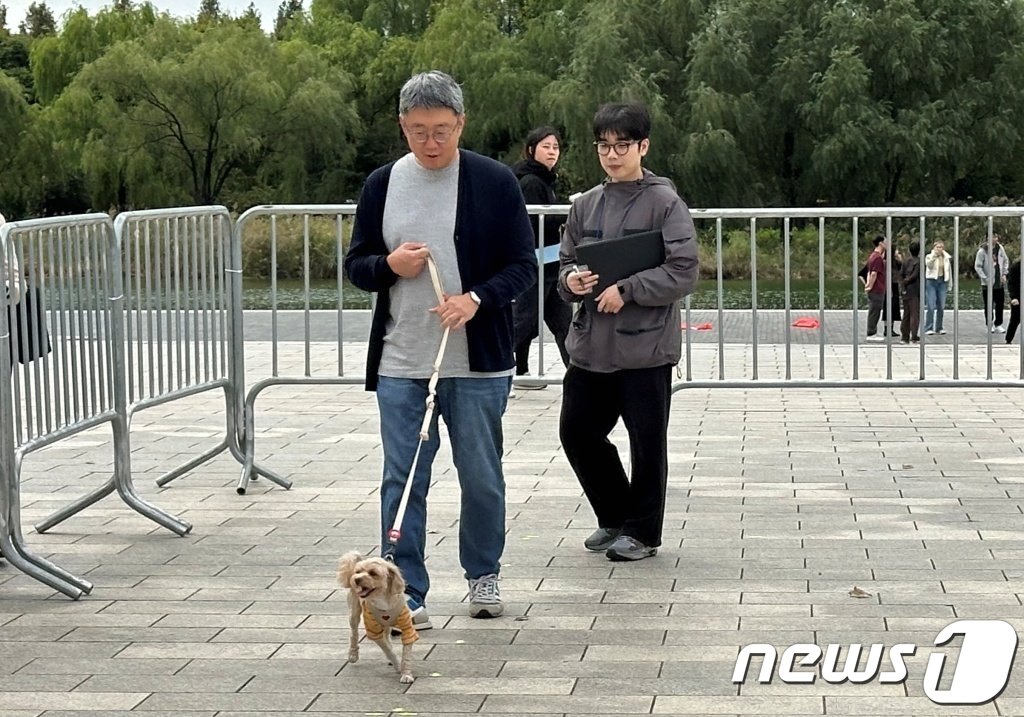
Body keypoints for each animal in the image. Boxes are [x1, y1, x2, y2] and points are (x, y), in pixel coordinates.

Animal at [335, 549, 415, 684]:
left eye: (373, 573)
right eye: (358, 572)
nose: (356, 579)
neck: (384, 602)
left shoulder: (407, 629)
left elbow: (407, 655)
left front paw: (406, 673)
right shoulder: (373, 631)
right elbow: (387, 650)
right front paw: (397, 664)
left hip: (386, 625)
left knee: (386, 635)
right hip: (354, 613)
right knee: (353, 633)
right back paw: (353, 654)